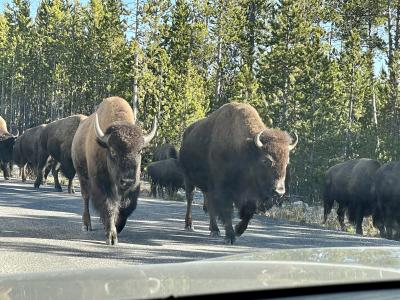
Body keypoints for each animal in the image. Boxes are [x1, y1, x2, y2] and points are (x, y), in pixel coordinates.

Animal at [72, 97, 157, 245]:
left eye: (140, 151)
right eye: (113, 151)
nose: (127, 180)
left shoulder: (133, 187)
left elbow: (126, 207)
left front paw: (117, 226)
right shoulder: (102, 184)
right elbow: (109, 206)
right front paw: (111, 236)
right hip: (82, 176)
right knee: (86, 197)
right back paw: (86, 225)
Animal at [178, 101, 296, 244]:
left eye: (287, 162)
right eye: (267, 161)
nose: (279, 191)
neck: (245, 150)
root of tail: (187, 133)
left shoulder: (250, 194)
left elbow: (249, 212)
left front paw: (238, 230)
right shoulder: (223, 189)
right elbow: (227, 211)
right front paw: (230, 236)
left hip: (207, 187)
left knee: (210, 204)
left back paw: (214, 230)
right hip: (188, 179)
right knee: (190, 198)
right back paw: (190, 225)